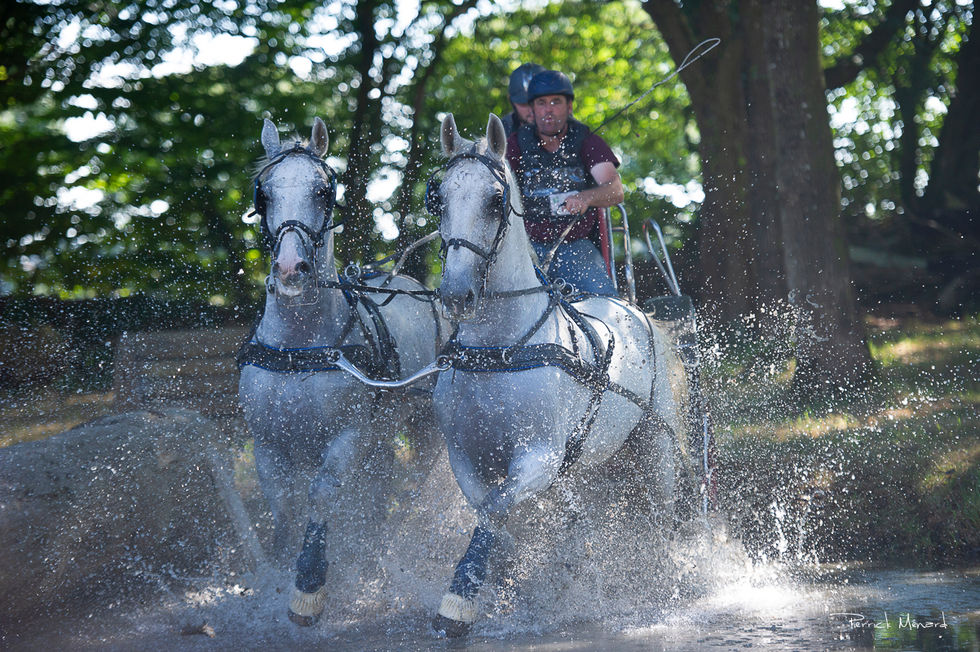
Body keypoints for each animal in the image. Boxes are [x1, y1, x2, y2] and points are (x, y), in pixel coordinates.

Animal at [237, 117, 443, 626]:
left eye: (323, 191)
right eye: (264, 193)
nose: (290, 268)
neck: (300, 346)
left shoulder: (346, 435)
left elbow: (321, 495)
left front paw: (309, 584)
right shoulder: (267, 442)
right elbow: (284, 506)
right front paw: (278, 572)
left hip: (424, 429)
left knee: (406, 492)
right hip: (382, 433)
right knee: (381, 484)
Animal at [427, 113, 687, 636]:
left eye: (495, 200)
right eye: (438, 197)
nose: (456, 294)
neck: (500, 349)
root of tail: (638, 313)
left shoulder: (538, 457)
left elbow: (496, 510)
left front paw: (458, 602)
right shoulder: (466, 458)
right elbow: (496, 516)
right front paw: (512, 582)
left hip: (656, 449)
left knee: (660, 518)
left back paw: (659, 582)